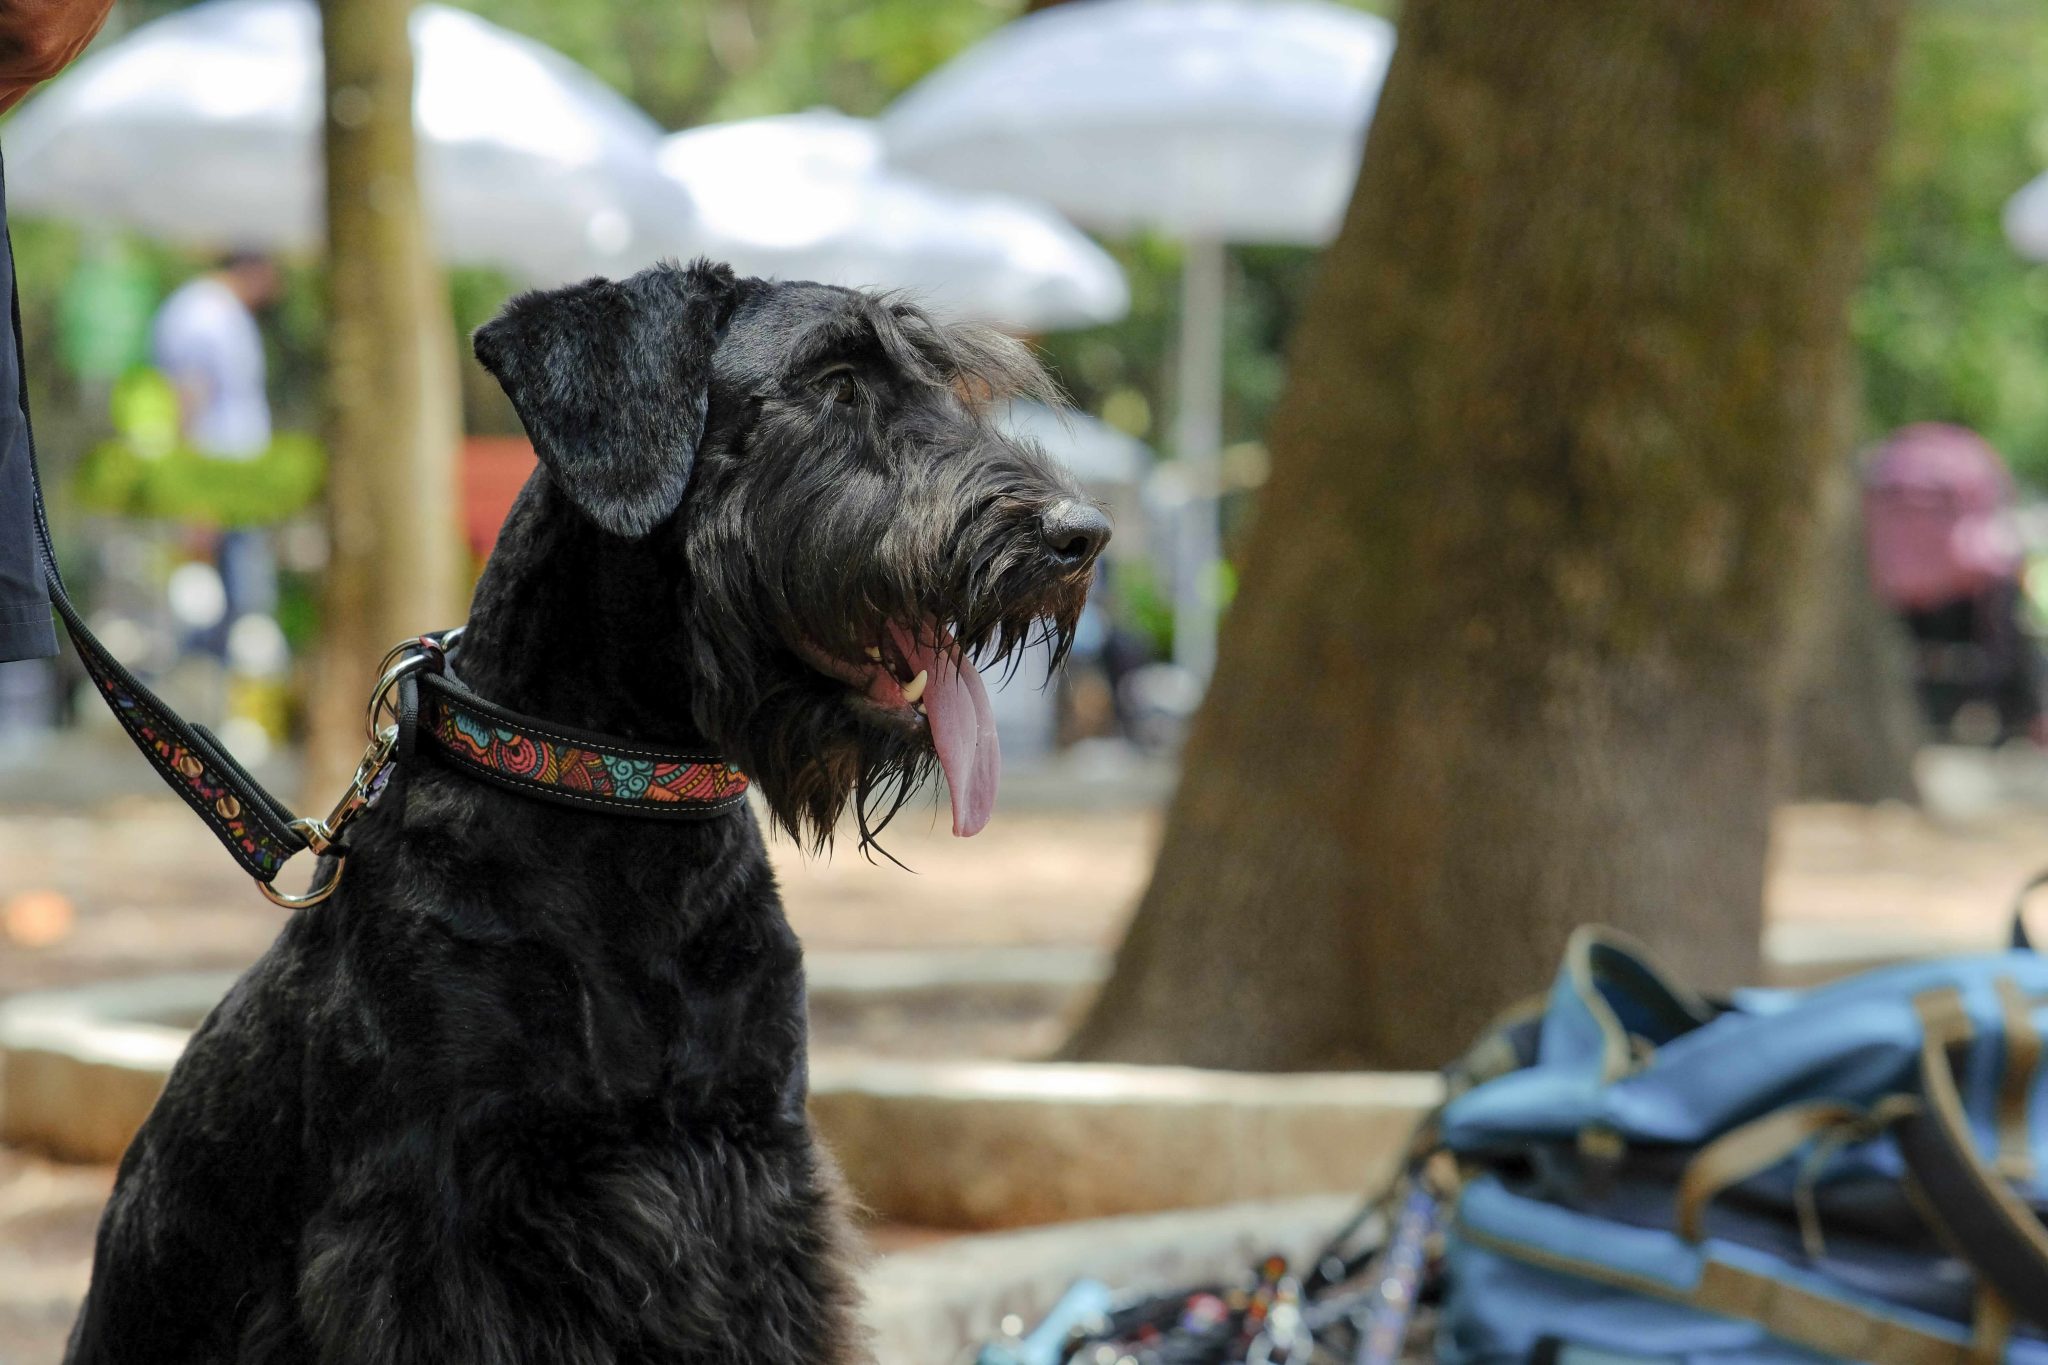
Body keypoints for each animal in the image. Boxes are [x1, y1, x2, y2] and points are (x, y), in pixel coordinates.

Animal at [68, 258, 1105, 1365]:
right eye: (834, 381)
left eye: (945, 384)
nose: (1079, 535)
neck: (623, 811)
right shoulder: (430, 1239)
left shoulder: (759, 1186)